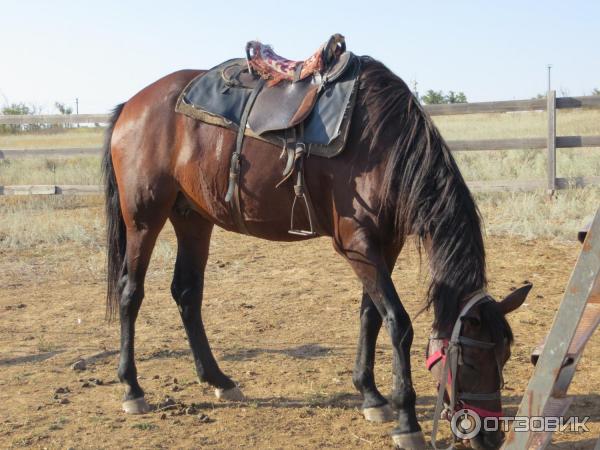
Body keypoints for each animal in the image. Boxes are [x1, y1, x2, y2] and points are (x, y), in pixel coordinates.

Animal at [102, 57, 528, 450]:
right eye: (469, 359)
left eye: (505, 355)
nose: (491, 436)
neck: (383, 144)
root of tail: (132, 105)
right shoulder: (358, 245)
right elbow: (398, 323)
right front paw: (406, 419)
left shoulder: (384, 245)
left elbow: (370, 315)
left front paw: (371, 395)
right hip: (144, 219)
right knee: (130, 293)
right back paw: (132, 388)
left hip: (193, 218)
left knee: (187, 293)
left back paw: (218, 380)